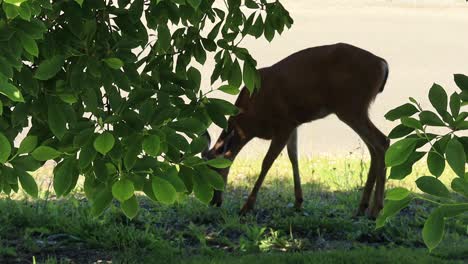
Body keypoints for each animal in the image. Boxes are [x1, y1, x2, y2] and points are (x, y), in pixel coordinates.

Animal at [203, 42, 390, 218]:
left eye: (215, 170)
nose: (213, 202)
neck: (250, 120)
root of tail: (383, 64)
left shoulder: (283, 123)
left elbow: (267, 162)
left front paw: (246, 207)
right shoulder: (293, 123)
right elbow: (293, 157)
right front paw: (298, 202)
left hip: (351, 106)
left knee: (382, 141)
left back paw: (375, 210)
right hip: (356, 108)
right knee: (373, 147)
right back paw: (362, 208)